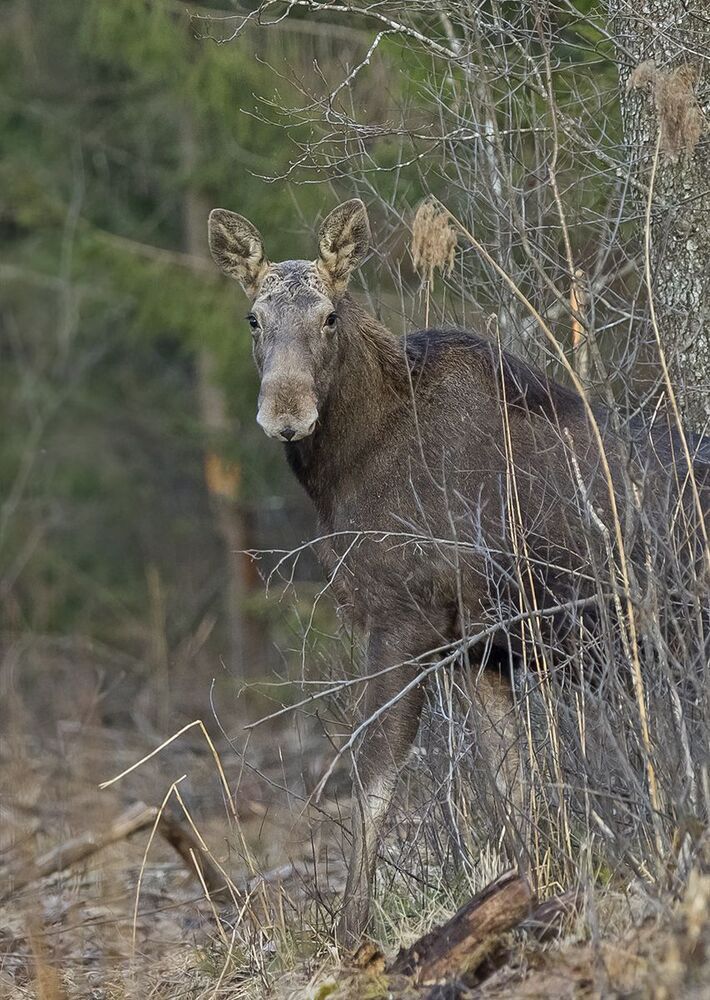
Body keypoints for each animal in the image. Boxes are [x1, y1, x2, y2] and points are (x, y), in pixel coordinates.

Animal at [207, 198, 708, 946]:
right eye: (253, 318)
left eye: (329, 316)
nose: (286, 415)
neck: (346, 471)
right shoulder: (480, 649)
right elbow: (512, 782)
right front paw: (530, 893)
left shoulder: (405, 619)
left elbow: (375, 775)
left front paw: (351, 933)